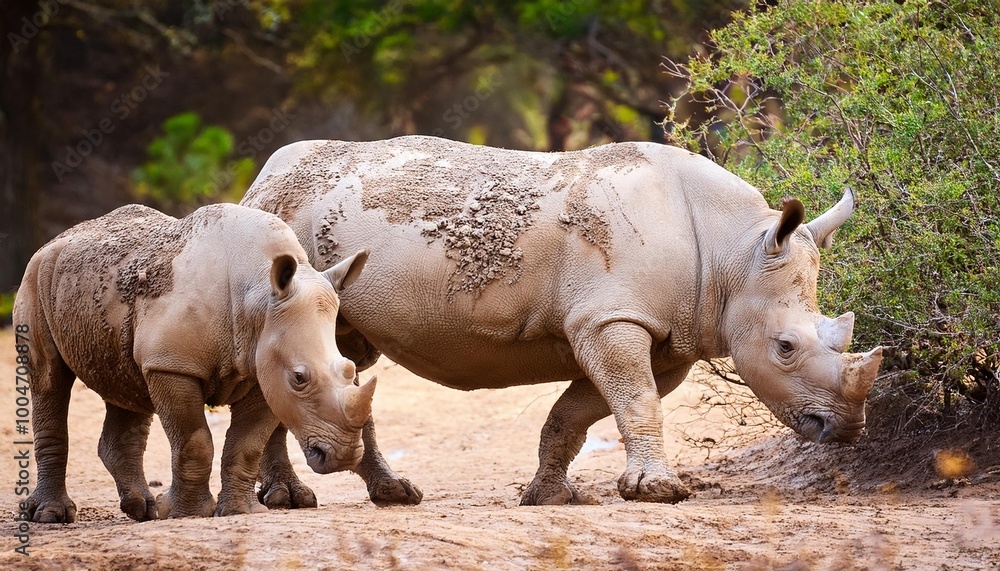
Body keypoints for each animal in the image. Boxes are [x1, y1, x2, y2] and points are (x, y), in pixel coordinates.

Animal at [13, 203, 376, 521]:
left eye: (349, 370)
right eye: (299, 378)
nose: (344, 455)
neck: (258, 296)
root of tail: (57, 239)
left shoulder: (262, 369)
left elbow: (247, 444)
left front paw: (240, 512)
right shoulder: (172, 364)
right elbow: (195, 442)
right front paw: (186, 513)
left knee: (126, 384)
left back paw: (143, 510)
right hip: (36, 275)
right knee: (49, 381)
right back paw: (51, 515)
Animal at [240, 136, 884, 505]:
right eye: (785, 347)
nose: (846, 428)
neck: (734, 252)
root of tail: (263, 177)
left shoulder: (658, 335)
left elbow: (579, 413)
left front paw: (550, 496)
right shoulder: (612, 317)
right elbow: (637, 401)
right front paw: (658, 492)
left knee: (348, 356)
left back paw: (394, 495)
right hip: (284, 231)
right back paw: (290, 500)